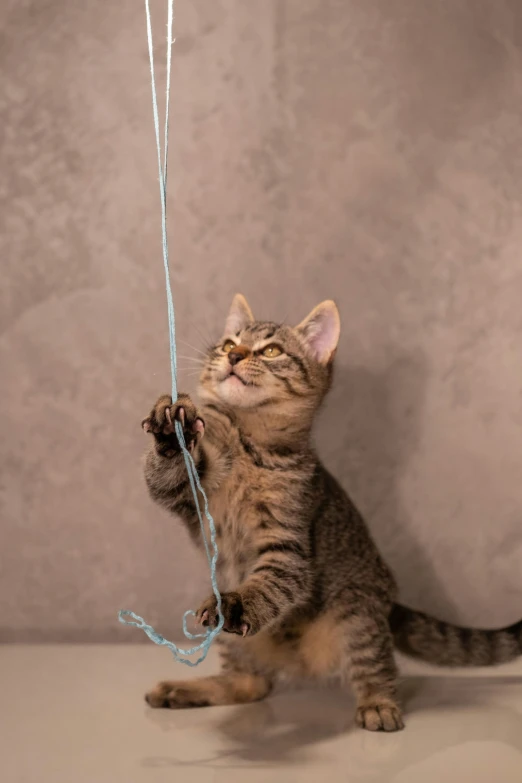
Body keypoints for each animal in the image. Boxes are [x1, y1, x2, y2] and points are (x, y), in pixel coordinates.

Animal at [141, 294, 520, 728]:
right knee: (249, 684)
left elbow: (270, 582)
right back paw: (183, 689)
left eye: (271, 351)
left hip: (355, 613)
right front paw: (172, 430)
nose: (234, 355)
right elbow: (164, 474)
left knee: (375, 666)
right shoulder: (189, 498)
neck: (246, 442)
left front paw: (239, 602)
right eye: (228, 344)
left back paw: (379, 705)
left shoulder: (289, 549)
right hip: (235, 629)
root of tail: (388, 605)